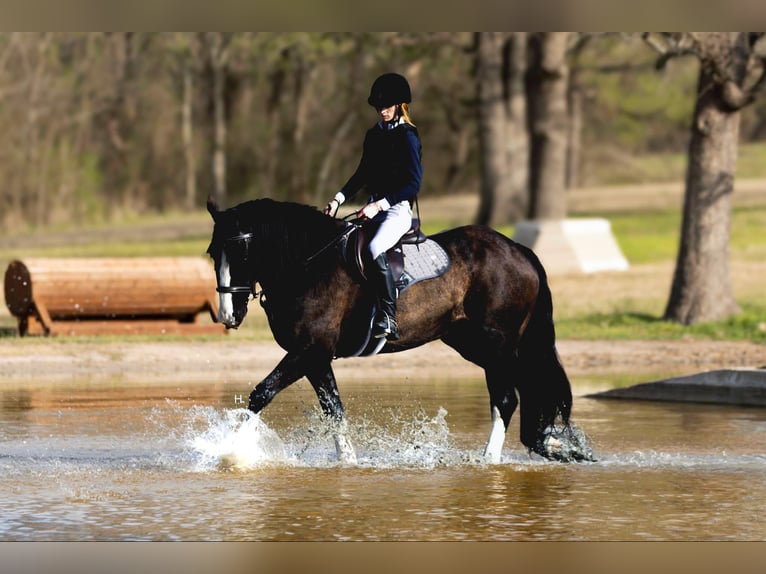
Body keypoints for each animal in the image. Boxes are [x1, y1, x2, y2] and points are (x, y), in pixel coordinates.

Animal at [206, 197, 594, 464]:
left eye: (240, 251)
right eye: (212, 253)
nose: (227, 315)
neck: (307, 265)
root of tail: (517, 249)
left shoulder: (309, 350)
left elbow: (261, 394)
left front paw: (231, 452)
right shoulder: (315, 357)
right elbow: (333, 410)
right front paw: (348, 462)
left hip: (498, 343)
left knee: (509, 397)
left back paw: (491, 460)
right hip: (473, 343)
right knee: (521, 393)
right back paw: (548, 445)